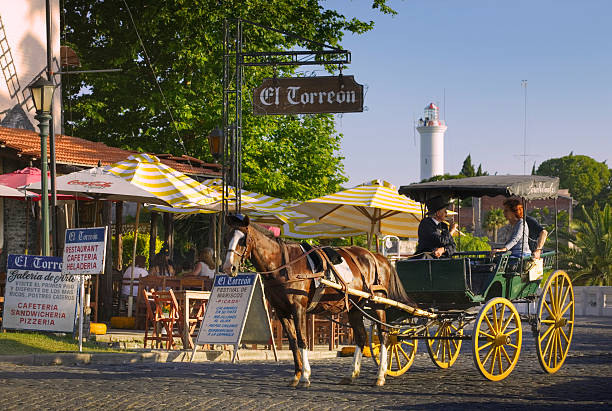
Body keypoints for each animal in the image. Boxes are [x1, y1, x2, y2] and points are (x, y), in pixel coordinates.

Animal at [221, 214, 416, 388]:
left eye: (242, 240)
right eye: (226, 239)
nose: (228, 267)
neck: (283, 266)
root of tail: (379, 257)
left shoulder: (298, 309)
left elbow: (302, 340)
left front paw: (305, 376)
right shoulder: (282, 312)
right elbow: (293, 342)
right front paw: (297, 375)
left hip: (378, 304)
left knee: (384, 335)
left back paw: (380, 375)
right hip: (355, 308)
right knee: (361, 337)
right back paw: (352, 374)